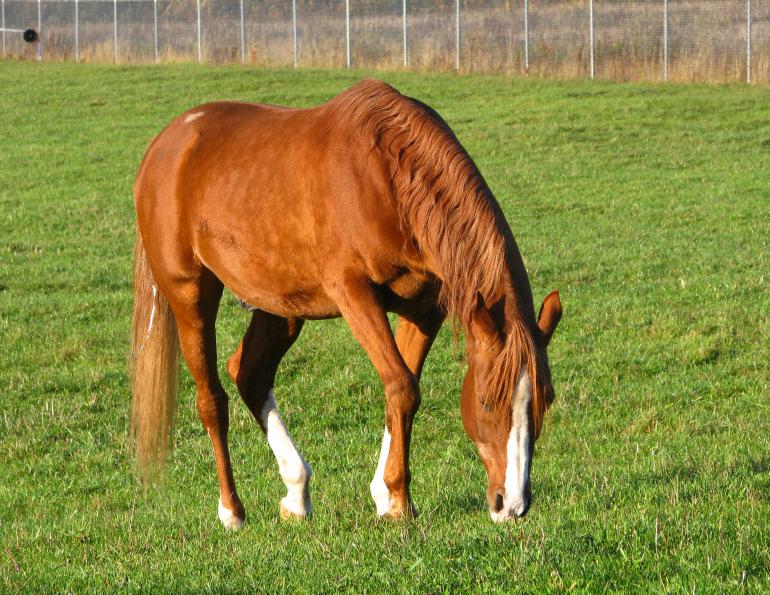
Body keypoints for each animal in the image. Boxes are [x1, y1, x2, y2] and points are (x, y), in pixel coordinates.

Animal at [130, 79, 562, 527]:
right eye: (486, 401)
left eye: (545, 400)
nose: (512, 505)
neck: (388, 177)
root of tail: (166, 145)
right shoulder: (355, 295)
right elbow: (401, 386)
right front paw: (400, 502)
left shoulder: (425, 310)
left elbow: (403, 388)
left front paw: (385, 495)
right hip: (190, 296)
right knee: (211, 400)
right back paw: (232, 510)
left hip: (284, 305)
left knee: (250, 373)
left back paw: (296, 492)